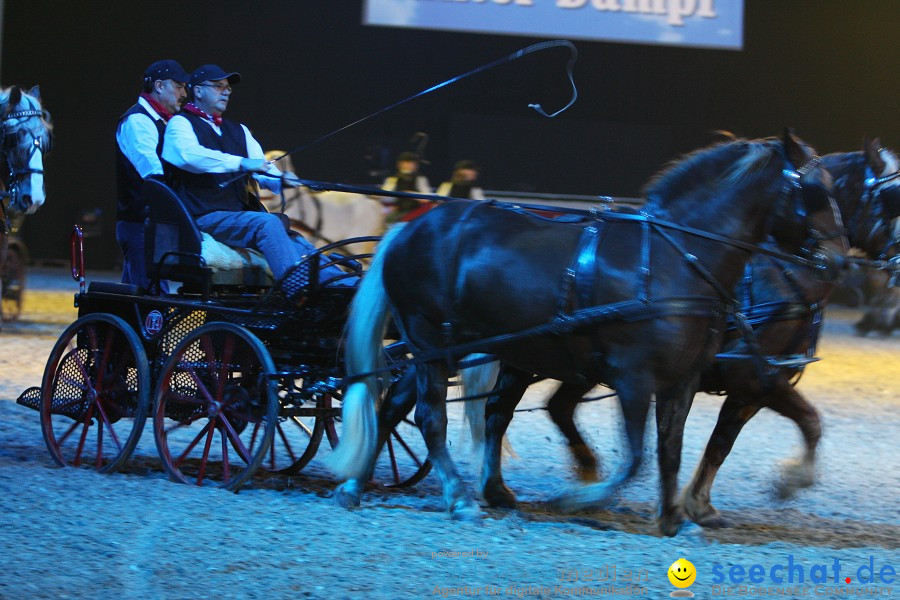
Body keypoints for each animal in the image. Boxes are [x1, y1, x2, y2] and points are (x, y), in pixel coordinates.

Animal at [328, 131, 844, 536]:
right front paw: (578, 499)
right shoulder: (641, 378)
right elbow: (636, 458)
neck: (674, 259)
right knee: (431, 416)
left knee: (397, 406)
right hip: (433, 343)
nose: (837, 261)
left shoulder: (684, 381)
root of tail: (406, 230)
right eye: (815, 192)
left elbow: (672, 451)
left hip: (445, 349)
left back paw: (356, 484)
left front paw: (674, 517)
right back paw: (459, 498)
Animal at [464, 141, 900, 528]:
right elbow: (789, 427)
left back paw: (582, 477)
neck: (782, 275)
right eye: (892, 195)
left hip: (574, 363)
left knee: (552, 407)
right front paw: (782, 484)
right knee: (501, 412)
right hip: (534, 356)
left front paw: (699, 505)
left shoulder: (743, 382)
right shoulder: (754, 378)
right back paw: (510, 489)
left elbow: (732, 440)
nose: (894, 266)